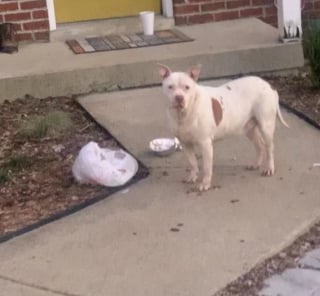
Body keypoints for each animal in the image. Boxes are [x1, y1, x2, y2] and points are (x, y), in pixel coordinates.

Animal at [159, 63, 288, 191]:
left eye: (187, 87)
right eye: (170, 87)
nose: (179, 98)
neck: (183, 114)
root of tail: (268, 84)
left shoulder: (205, 144)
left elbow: (206, 167)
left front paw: (205, 184)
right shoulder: (185, 143)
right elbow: (192, 162)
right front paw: (193, 176)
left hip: (266, 126)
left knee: (269, 148)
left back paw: (269, 168)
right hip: (249, 128)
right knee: (260, 146)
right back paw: (255, 164)